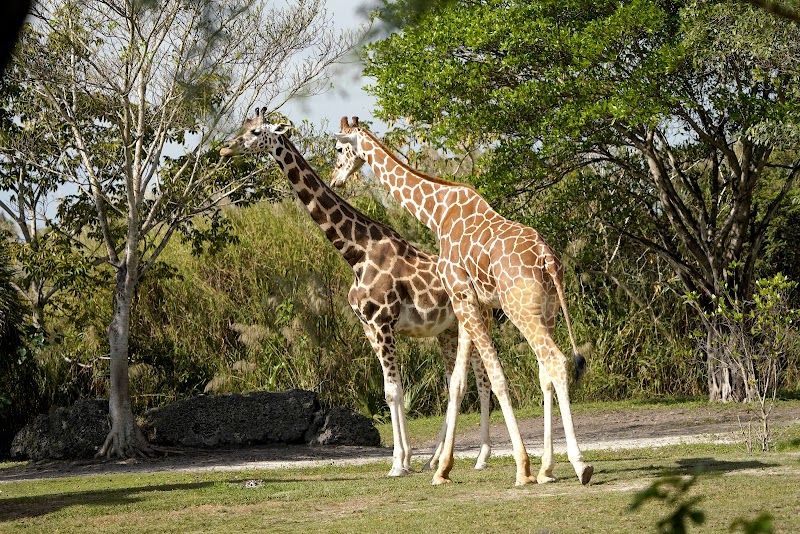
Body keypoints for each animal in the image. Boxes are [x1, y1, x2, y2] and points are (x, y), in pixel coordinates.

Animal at [219, 108, 493, 477]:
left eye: (255, 132)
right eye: (243, 127)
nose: (225, 148)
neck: (356, 252)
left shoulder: (382, 322)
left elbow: (393, 391)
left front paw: (398, 464)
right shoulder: (368, 326)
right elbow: (392, 390)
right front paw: (406, 460)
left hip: (473, 322)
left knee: (482, 381)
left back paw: (480, 457)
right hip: (446, 330)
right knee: (456, 381)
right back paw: (435, 460)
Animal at [331, 117, 593, 486]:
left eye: (340, 148)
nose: (335, 178)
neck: (436, 212)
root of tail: (548, 259)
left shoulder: (461, 296)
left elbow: (492, 377)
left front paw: (519, 468)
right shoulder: (466, 299)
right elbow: (457, 382)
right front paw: (442, 468)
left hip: (520, 309)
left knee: (554, 361)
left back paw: (578, 465)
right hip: (550, 311)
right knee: (545, 371)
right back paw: (547, 468)